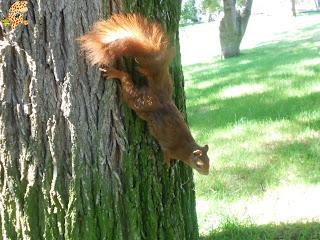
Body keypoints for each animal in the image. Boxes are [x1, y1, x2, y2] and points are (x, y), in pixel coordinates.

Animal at [79, 13, 210, 174]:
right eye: (199, 164)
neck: (186, 149)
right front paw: (167, 163)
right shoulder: (170, 148)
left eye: (209, 162)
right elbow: (166, 153)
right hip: (139, 101)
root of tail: (160, 96)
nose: (207, 173)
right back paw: (116, 73)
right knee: (126, 80)